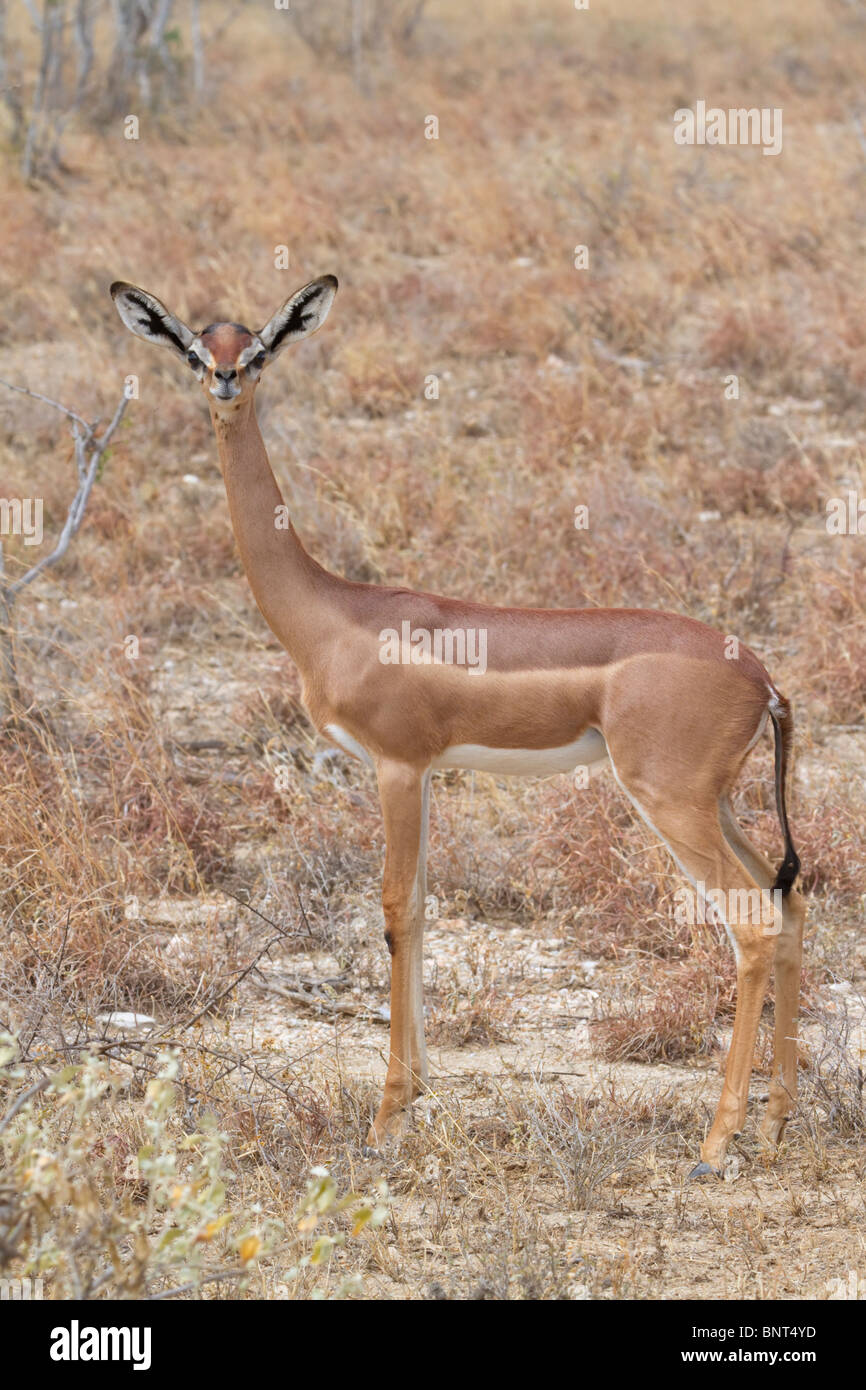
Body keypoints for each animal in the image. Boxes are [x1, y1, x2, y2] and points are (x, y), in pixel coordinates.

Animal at [111, 273, 811, 1173]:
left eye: (262, 348)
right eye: (198, 350)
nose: (227, 384)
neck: (333, 614)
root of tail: (761, 676)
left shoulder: (397, 766)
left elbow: (396, 910)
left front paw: (385, 1119)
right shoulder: (429, 774)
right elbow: (420, 906)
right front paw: (413, 1097)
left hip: (669, 800)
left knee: (752, 922)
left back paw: (714, 1143)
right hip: (715, 803)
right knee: (789, 906)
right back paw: (775, 1123)